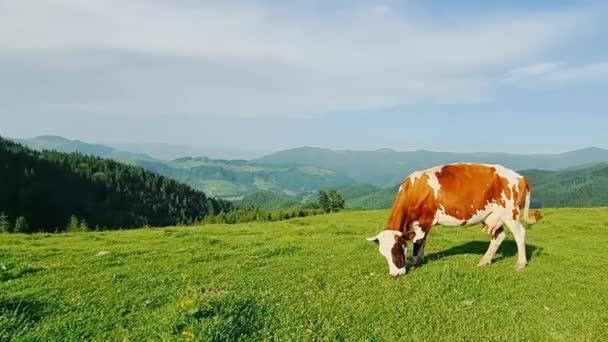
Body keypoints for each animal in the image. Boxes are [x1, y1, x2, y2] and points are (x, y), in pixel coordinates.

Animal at [366, 163, 532, 278]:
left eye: (395, 250)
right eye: (383, 253)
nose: (395, 274)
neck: (414, 189)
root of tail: (521, 177)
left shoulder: (425, 221)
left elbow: (418, 243)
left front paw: (415, 261)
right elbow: (421, 242)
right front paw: (419, 259)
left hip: (510, 212)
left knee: (520, 233)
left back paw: (520, 263)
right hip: (492, 215)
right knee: (499, 237)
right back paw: (485, 260)